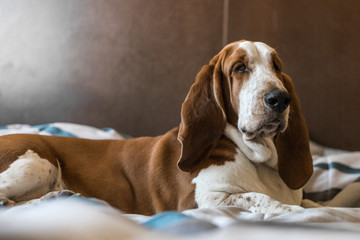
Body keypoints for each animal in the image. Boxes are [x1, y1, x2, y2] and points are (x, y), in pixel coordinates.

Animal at [0, 40, 312, 215]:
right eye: (240, 68)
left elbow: (312, 205)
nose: (279, 99)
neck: (255, 157)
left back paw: (58, 198)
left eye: (276, 67)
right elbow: (260, 198)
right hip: (38, 162)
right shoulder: (200, 202)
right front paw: (292, 212)